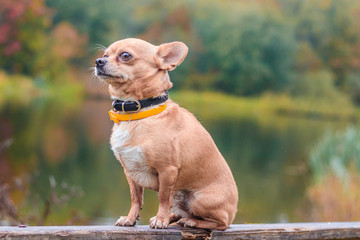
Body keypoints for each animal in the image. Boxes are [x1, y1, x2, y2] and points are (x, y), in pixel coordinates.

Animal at [94, 38, 238, 230]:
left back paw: (191, 221)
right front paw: (130, 218)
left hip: (198, 199)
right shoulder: (130, 172)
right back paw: (174, 217)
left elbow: (163, 197)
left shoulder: (167, 171)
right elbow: (136, 198)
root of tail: (234, 211)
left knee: (221, 223)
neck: (137, 114)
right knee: (181, 210)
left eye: (125, 55)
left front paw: (160, 219)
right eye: (105, 55)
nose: (98, 61)